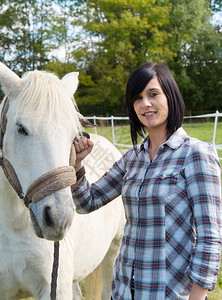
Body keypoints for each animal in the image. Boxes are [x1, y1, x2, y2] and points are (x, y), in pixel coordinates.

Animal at [0, 62, 125, 298]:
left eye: (74, 135)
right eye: (21, 128)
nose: (58, 218)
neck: (13, 226)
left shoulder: (55, 287)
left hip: (114, 252)